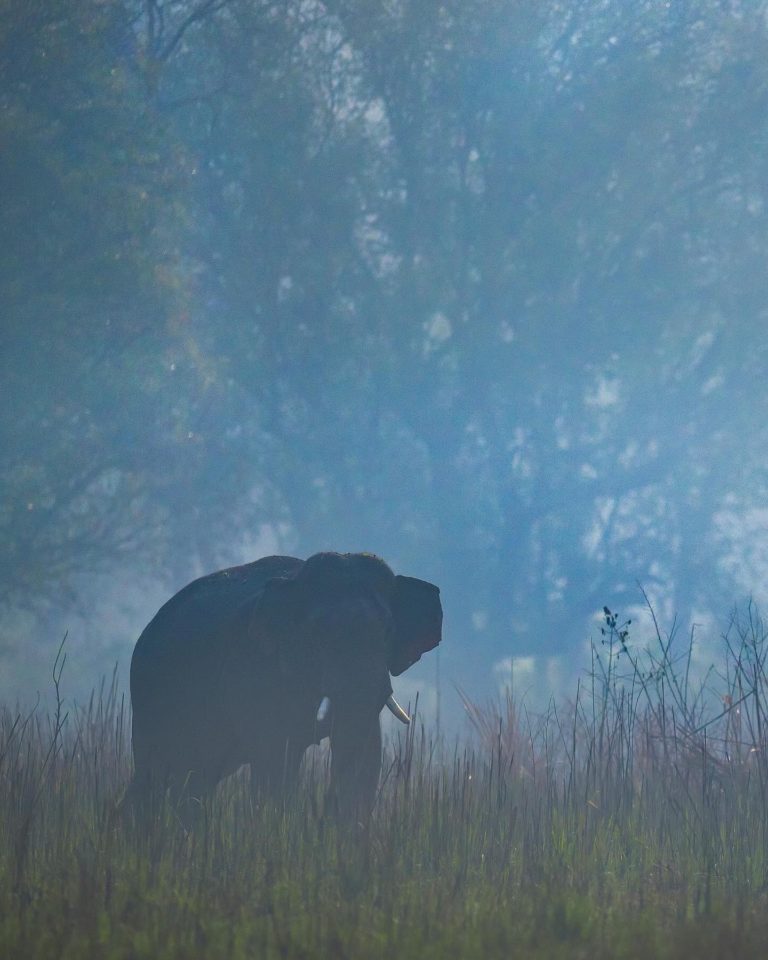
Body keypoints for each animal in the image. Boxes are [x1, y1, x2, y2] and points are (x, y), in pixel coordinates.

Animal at [127, 552, 444, 820]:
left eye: (387, 630)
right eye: (317, 632)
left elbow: (365, 752)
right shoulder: (254, 669)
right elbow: (275, 758)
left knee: (197, 777)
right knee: (156, 774)